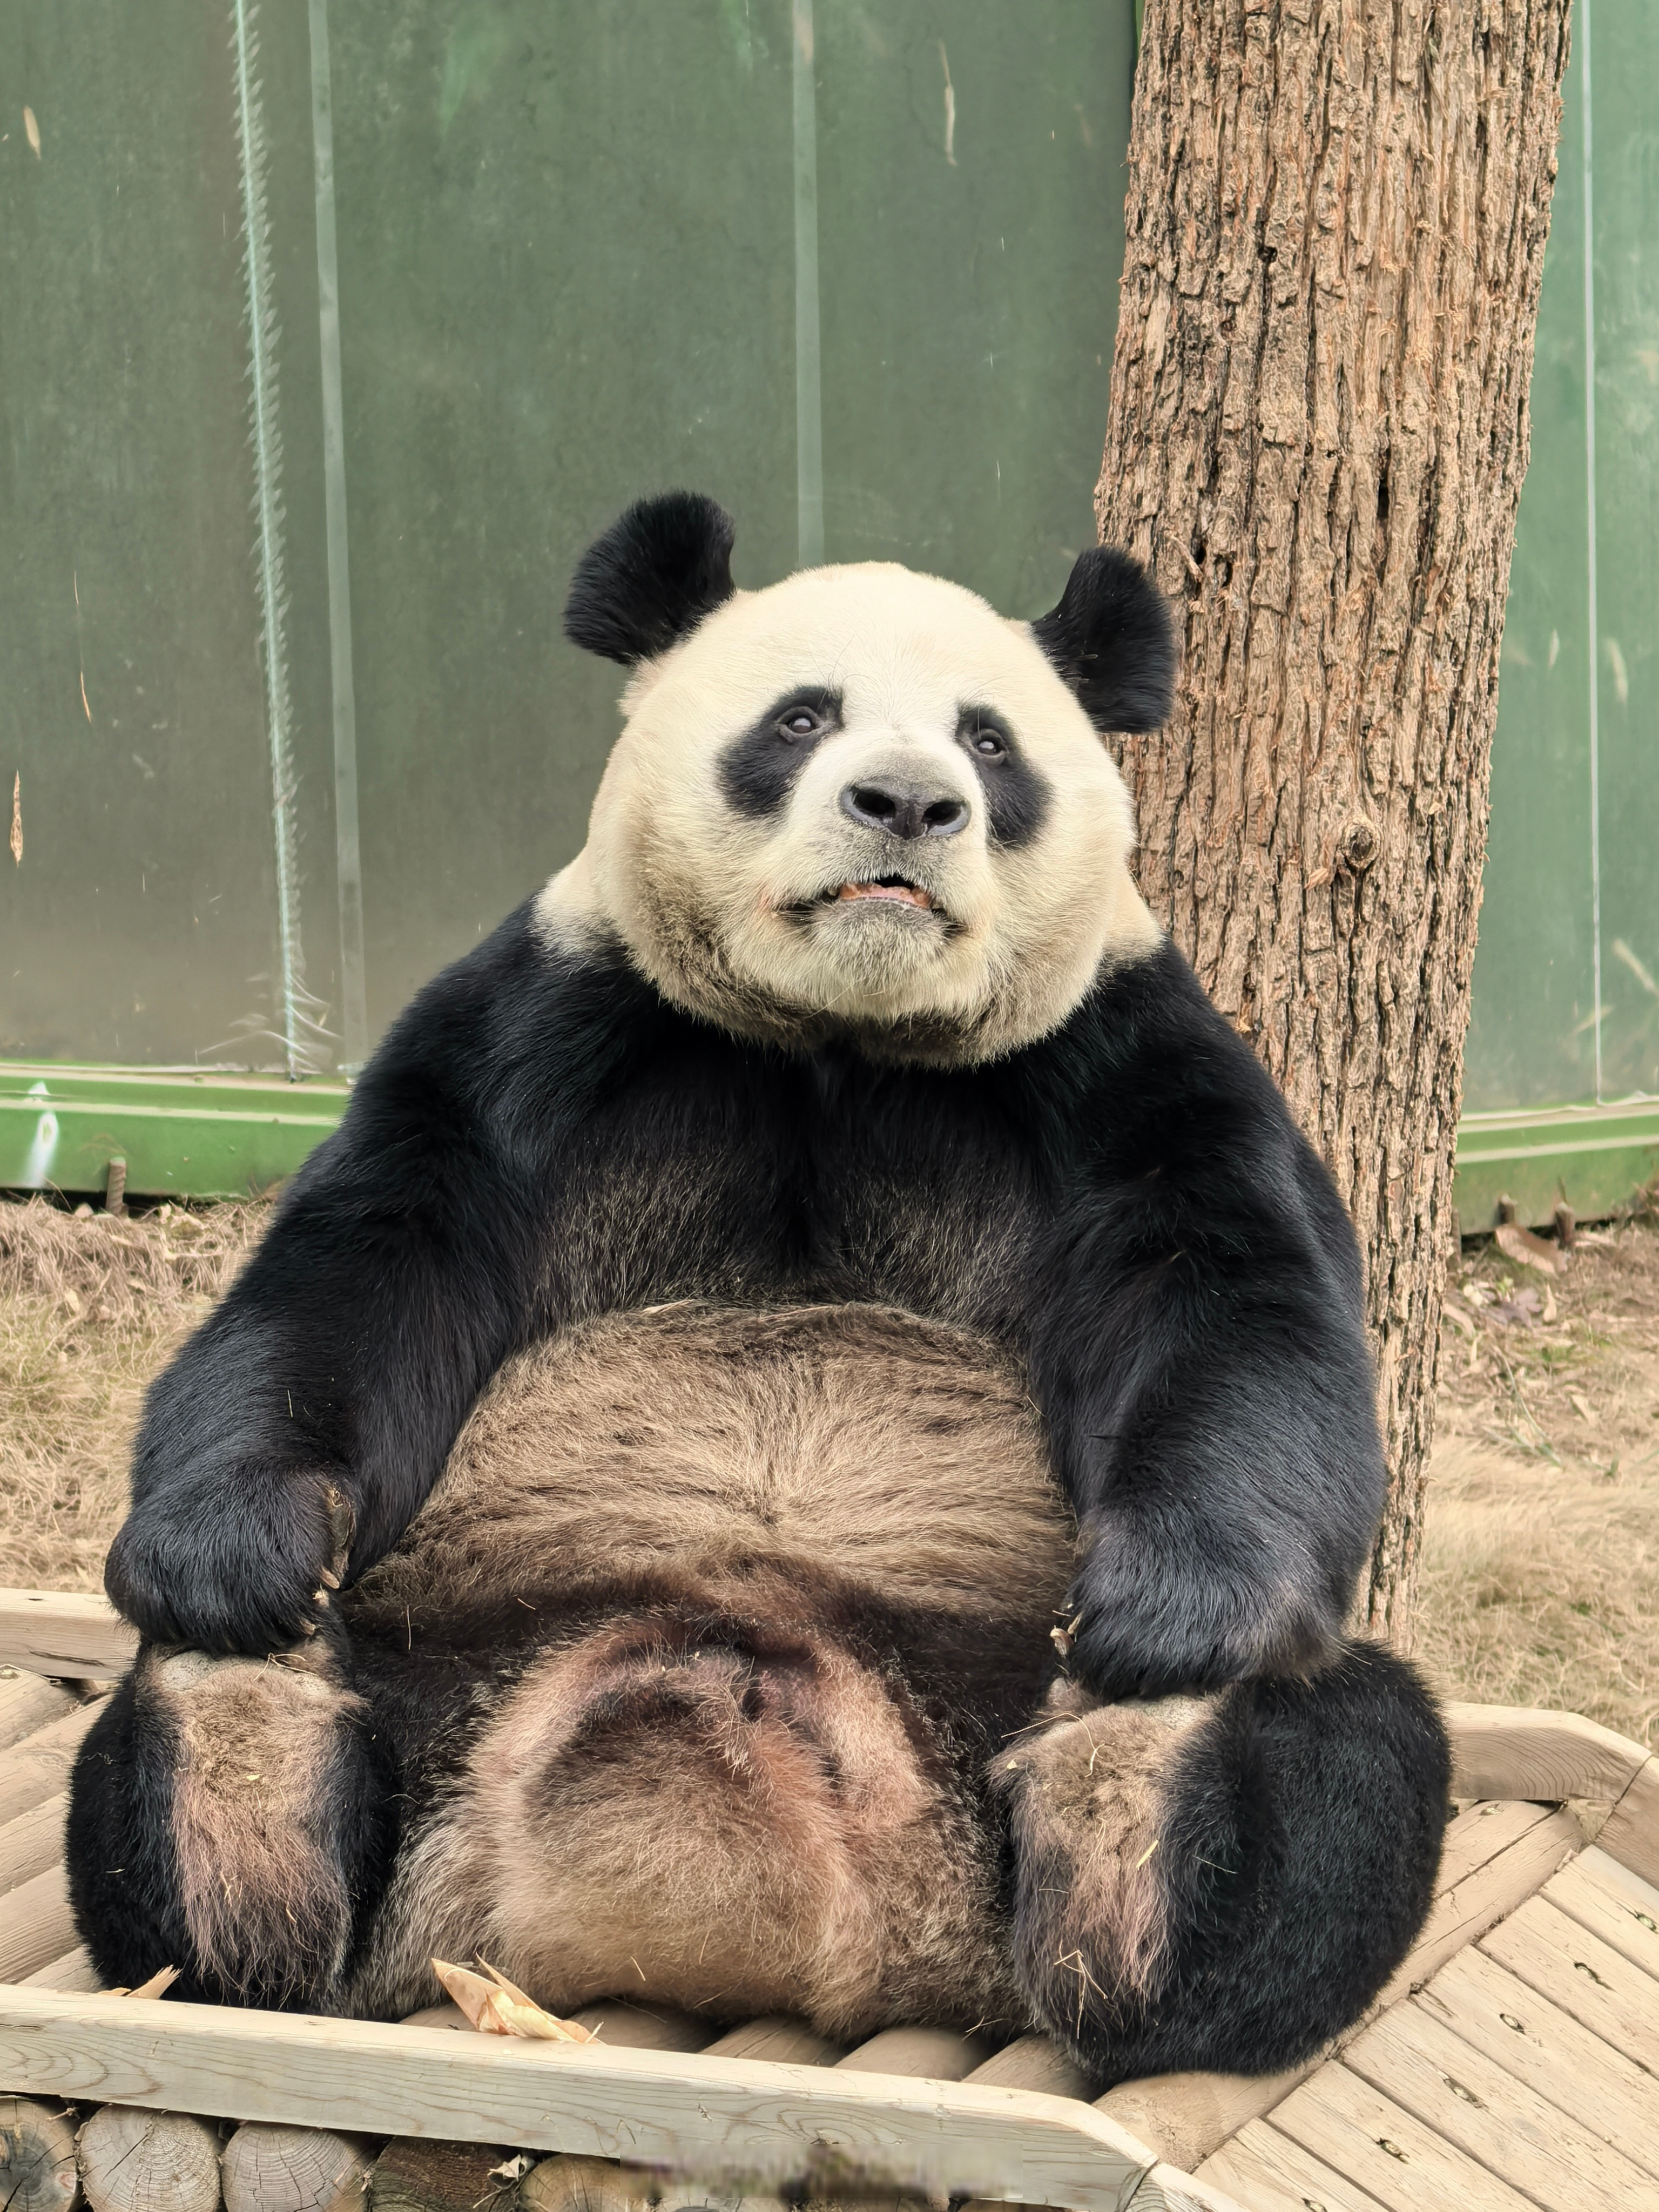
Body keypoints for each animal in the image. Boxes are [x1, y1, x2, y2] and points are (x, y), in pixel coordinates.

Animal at [67, 493, 1448, 2087]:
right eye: (802, 719)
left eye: (990, 745)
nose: (905, 805)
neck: (835, 1034)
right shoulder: (546, 1020)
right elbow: (362, 1270)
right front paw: (236, 1556)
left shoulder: (1124, 1058)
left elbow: (1232, 1310)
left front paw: (1172, 1609)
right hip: (439, 1680)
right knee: (162, 1830)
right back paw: (249, 1741)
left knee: (1346, 1767)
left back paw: (1134, 1797)